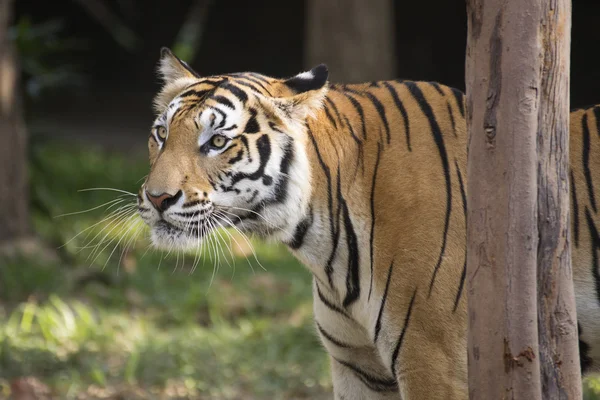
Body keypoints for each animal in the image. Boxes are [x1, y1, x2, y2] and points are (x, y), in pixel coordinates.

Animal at [136, 48, 600, 398]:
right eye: (161, 134)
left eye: (217, 141)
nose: (157, 198)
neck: (322, 244)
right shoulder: (358, 367)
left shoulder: (436, 363)